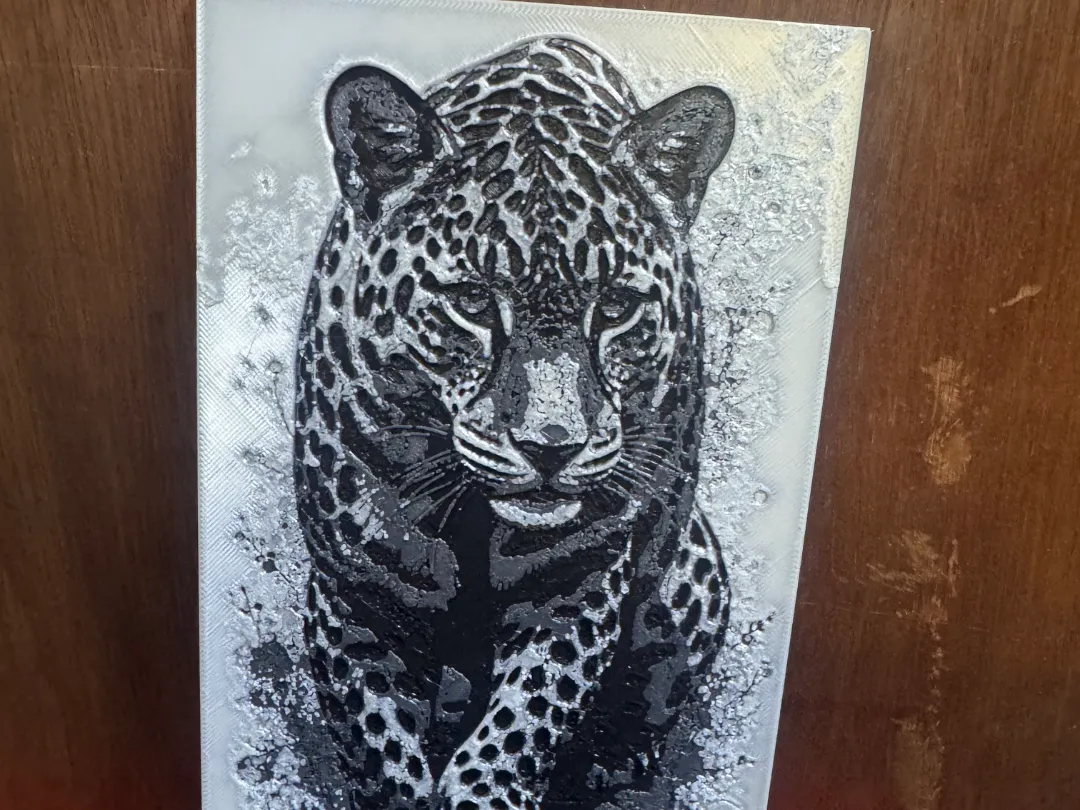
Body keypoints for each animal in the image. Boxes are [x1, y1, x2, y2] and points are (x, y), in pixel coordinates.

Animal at [294, 37, 735, 810]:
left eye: (616, 307)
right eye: (472, 301)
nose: (551, 448)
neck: (472, 522)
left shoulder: (576, 588)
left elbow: (516, 736)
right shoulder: (352, 599)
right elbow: (382, 753)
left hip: (689, 576)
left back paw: (612, 761)